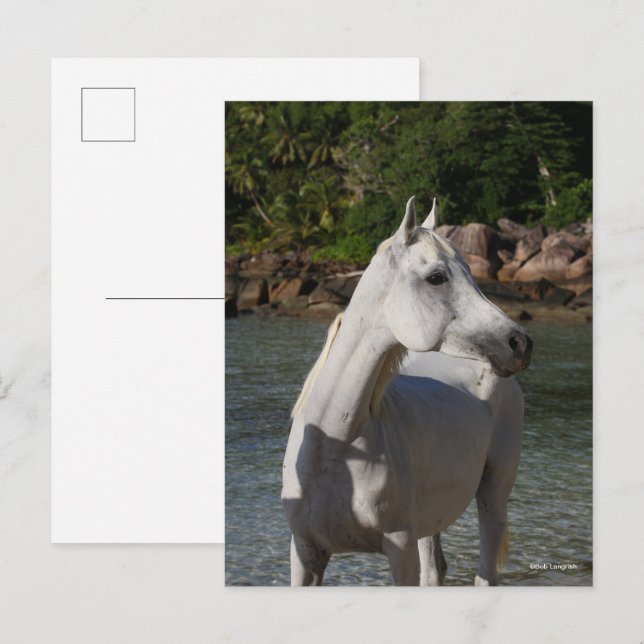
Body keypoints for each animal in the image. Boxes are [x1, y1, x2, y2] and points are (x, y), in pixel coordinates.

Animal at [281, 197, 532, 586]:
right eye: (437, 277)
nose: (520, 344)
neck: (337, 447)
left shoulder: (400, 549)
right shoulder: (305, 554)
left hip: (494, 494)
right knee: (436, 570)